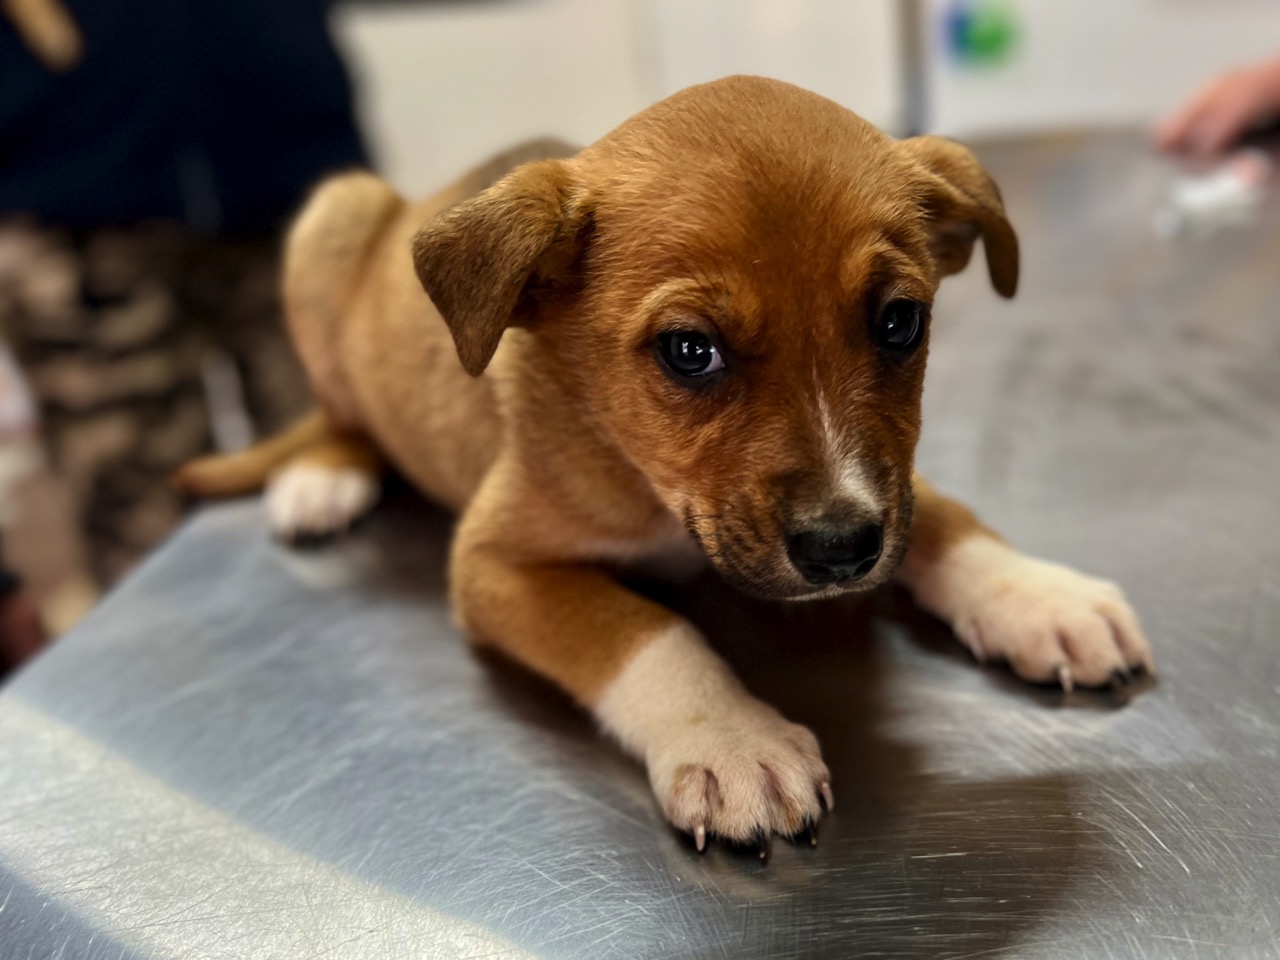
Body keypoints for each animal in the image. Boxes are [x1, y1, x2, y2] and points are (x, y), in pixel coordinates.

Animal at [178, 77, 1153, 851]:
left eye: (899, 322)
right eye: (689, 351)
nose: (844, 550)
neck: (651, 484)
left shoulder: (891, 481)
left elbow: (941, 514)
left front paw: (1035, 595)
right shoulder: (494, 562)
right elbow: (642, 629)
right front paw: (729, 740)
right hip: (328, 226)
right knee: (341, 411)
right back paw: (324, 474)